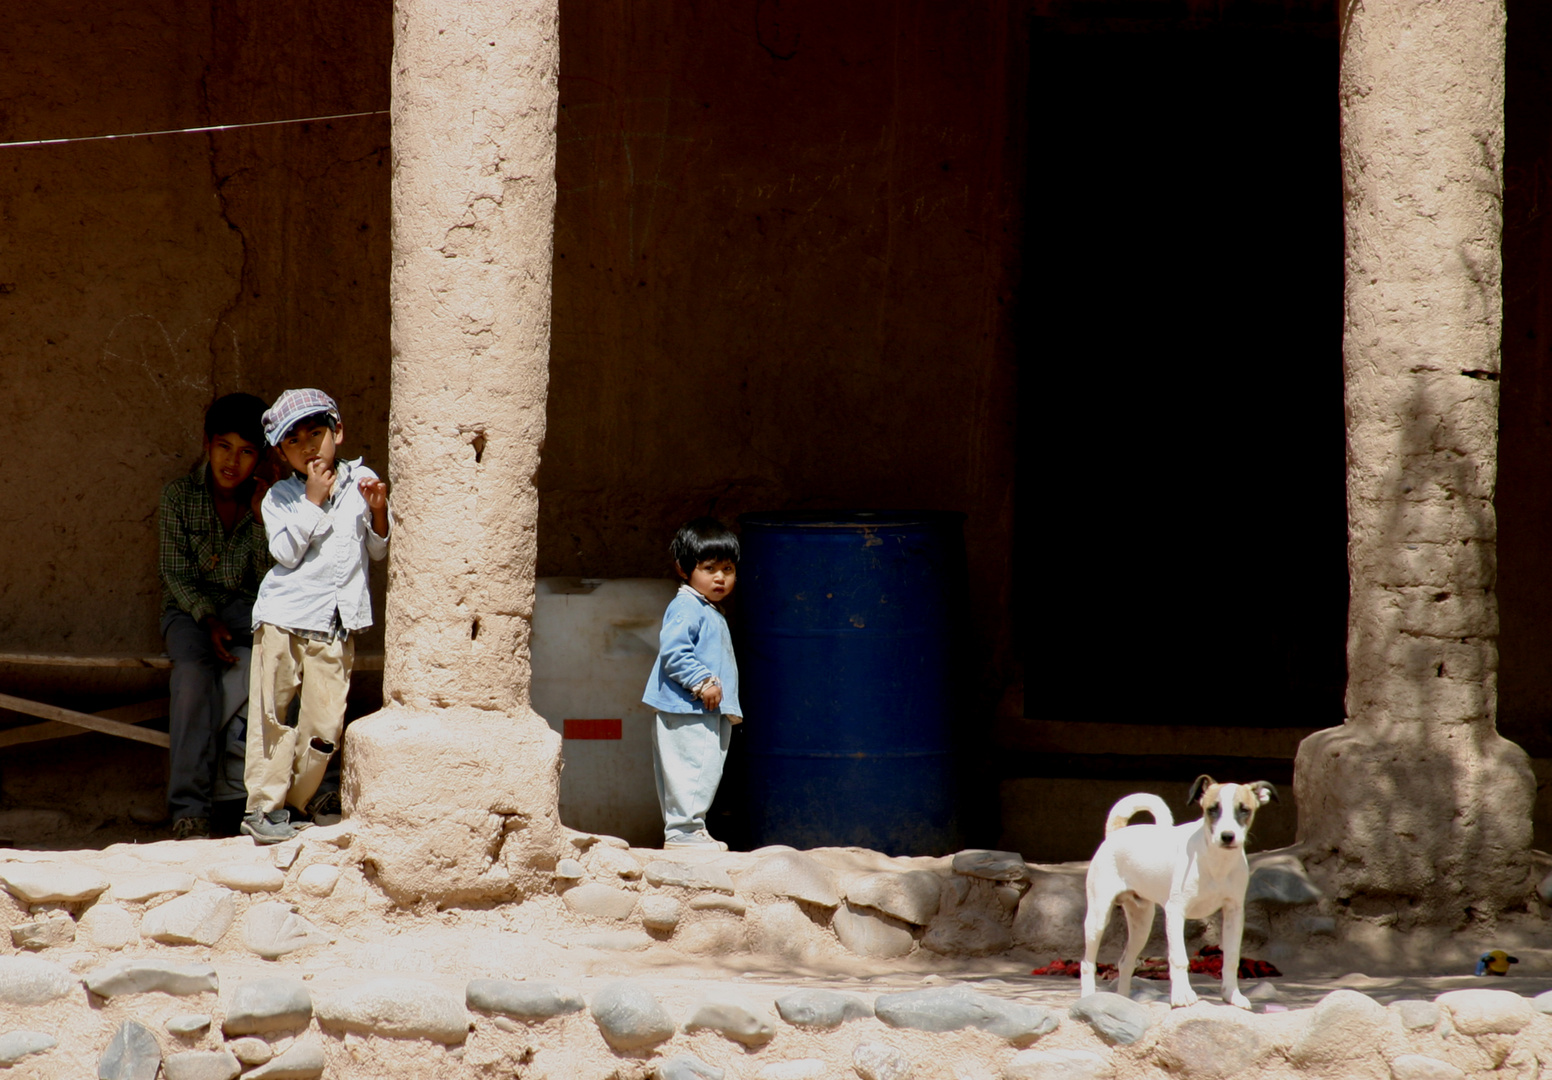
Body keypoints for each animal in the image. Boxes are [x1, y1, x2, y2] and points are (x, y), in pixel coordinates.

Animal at [1080, 772, 1272, 1005]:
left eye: (1244, 809)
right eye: (1212, 809)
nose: (1227, 836)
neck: (1215, 861)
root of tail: (1115, 833)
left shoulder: (1234, 913)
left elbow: (1232, 957)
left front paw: (1232, 995)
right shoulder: (1175, 912)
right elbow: (1179, 958)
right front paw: (1182, 995)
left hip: (1141, 923)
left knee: (1125, 962)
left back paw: (1123, 1000)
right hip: (1097, 919)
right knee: (1087, 964)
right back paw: (1088, 997)